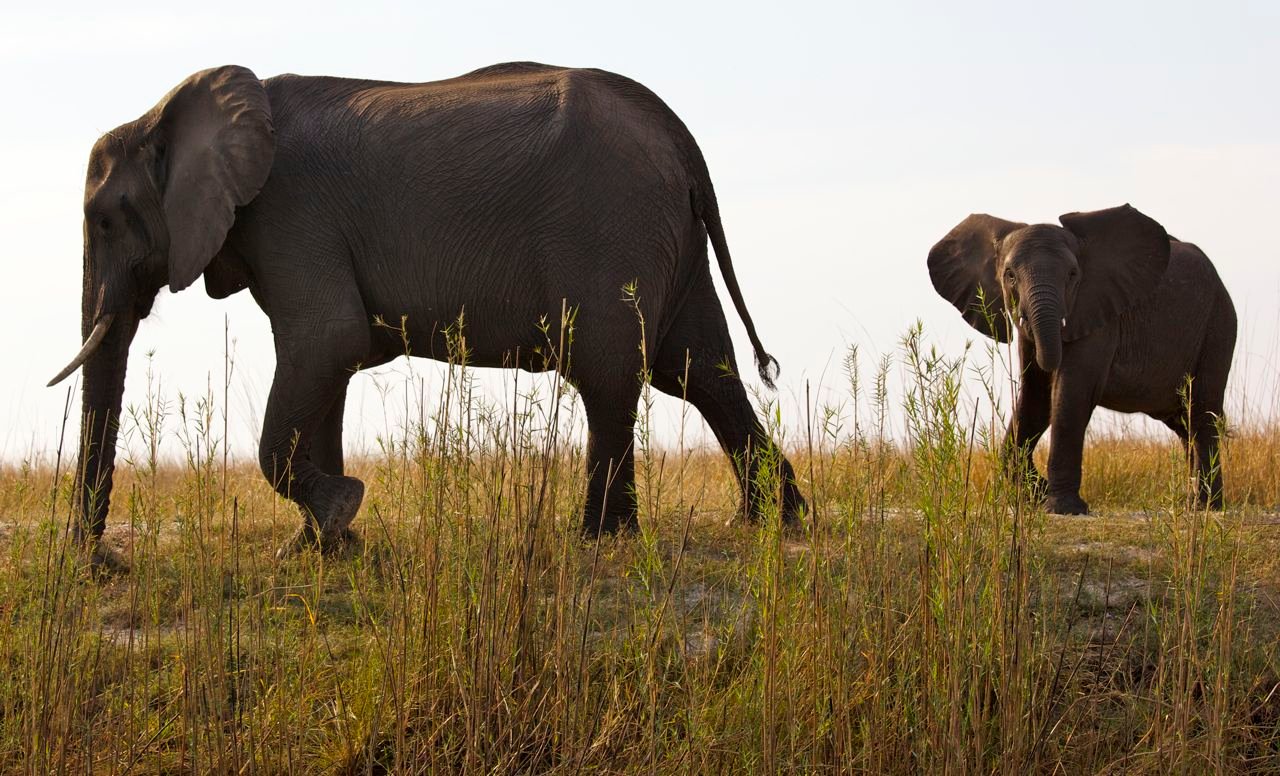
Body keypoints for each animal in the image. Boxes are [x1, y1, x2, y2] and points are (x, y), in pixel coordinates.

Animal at [55, 60, 808, 558]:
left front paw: (336, 516)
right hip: (666, 236)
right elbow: (328, 366)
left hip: (615, 224)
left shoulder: (290, 217)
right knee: (702, 371)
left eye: (105, 220)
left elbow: (326, 341)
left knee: (612, 375)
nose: (102, 560)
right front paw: (324, 547)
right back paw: (773, 523)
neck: (167, 112)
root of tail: (682, 139)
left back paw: (599, 538)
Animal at [931, 203, 1239, 514]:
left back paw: (1206, 506)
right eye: (1009, 275)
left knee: (1201, 412)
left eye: (1072, 275)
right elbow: (1035, 396)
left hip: (1218, 326)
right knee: (1184, 424)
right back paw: (1193, 503)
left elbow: (1070, 395)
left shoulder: (1099, 314)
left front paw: (1061, 507)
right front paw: (1039, 494)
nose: (1040, 486)